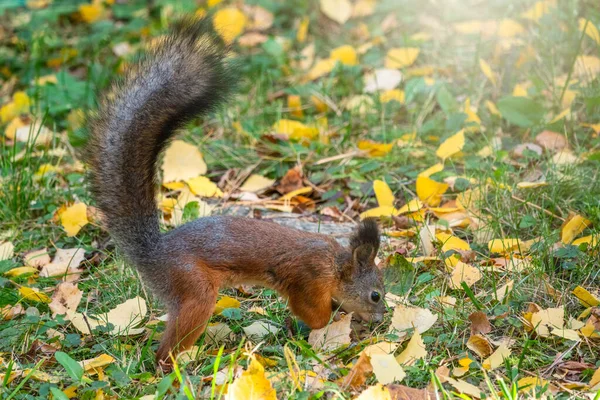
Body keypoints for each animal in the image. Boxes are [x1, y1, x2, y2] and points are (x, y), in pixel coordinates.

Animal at [85, 17, 384, 368]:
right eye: (375, 294)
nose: (381, 318)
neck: (336, 265)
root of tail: (151, 254)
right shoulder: (307, 280)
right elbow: (312, 314)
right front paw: (334, 323)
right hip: (195, 290)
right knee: (167, 347)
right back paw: (174, 367)